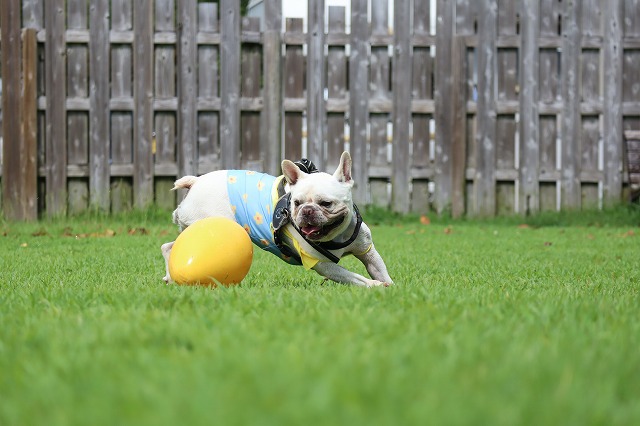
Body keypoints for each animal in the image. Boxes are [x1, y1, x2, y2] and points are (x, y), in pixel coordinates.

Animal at [161, 152, 394, 287]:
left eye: (326, 203)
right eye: (297, 203)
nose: (307, 210)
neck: (336, 236)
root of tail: (195, 182)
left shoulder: (367, 251)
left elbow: (379, 269)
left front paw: (391, 287)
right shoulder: (322, 265)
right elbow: (353, 276)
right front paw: (374, 286)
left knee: (168, 246)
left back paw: (171, 278)